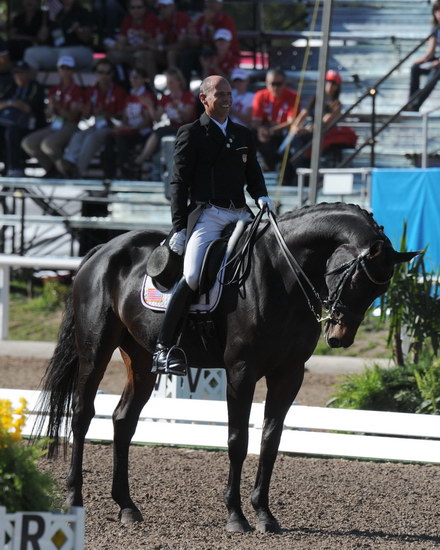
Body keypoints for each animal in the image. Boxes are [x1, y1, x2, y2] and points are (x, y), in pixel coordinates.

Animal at [37, 202, 416, 536]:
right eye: (354, 279)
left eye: (380, 290)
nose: (339, 337)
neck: (281, 274)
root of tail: (103, 250)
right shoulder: (241, 371)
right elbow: (238, 440)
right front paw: (236, 516)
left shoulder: (289, 374)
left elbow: (270, 440)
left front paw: (265, 515)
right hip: (95, 350)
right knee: (82, 414)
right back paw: (74, 499)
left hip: (141, 358)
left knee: (123, 420)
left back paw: (127, 507)